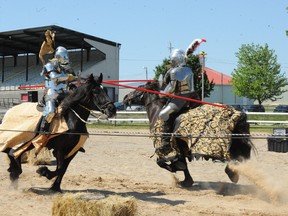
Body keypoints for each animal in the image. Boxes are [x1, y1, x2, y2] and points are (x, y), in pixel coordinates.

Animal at [124, 81, 254, 187]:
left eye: (138, 89)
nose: (125, 97)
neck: (157, 113)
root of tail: (234, 114)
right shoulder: (181, 148)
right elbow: (184, 165)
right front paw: (187, 180)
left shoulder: (168, 149)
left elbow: (162, 162)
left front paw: (175, 169)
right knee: (243, 156)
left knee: (236, 159)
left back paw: (232, 173)